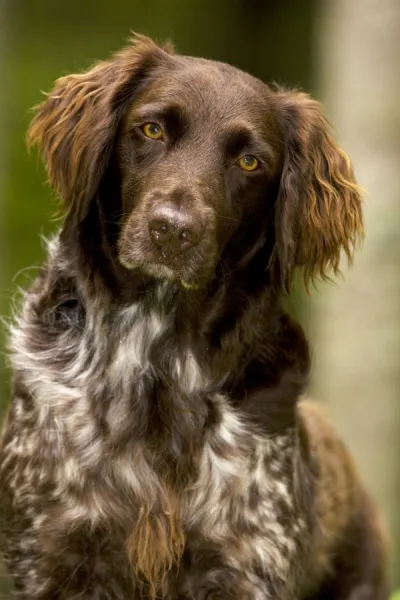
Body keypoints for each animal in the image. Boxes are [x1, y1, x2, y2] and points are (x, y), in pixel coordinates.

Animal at [0, 35, 388, 596]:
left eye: (249, 162)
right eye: (152, 129)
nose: (173, 231)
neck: (157, 352)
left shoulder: (247, 565)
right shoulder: (49, 557)